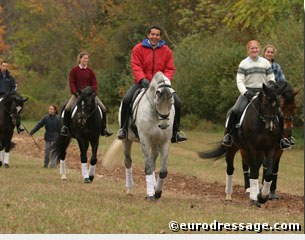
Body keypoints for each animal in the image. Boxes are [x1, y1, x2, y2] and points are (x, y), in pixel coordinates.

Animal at [102, 71, 173, 201]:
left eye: (171, 103)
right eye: (157, 102)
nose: (164, 125)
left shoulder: (164, 142)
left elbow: (163, 171)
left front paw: (157, 192)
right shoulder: (145, 140)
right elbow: (148, 168)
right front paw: (151, 195)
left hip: (155, 144)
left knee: (152, 162)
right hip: (127, 140)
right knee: (128, 162)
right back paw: (129, 189)